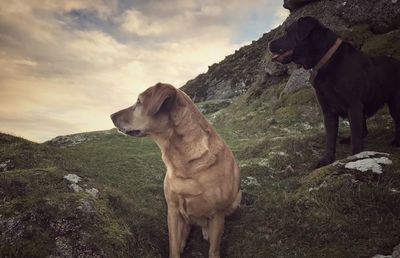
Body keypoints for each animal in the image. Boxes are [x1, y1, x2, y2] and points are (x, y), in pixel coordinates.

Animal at [109, 83, 241, 258]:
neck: (182, 159)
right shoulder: (172, 210)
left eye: (138, 102)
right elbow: (173, 245)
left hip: (236, 200)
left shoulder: (217, 213)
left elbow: (213, 249)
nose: (111, 115)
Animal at [268, 17, 400, 168]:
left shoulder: (353, 106)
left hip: (395, 103)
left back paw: (396, 141)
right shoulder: (328, 111)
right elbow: (330, 139)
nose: (269, 44)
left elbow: (356, 138)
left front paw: (356, 158)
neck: (327, 61)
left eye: (288, 32)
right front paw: (327, 160)